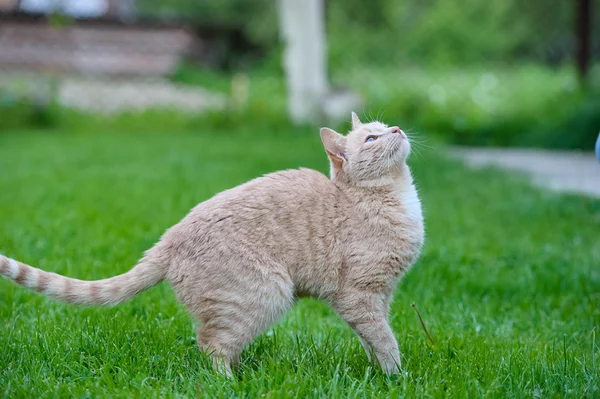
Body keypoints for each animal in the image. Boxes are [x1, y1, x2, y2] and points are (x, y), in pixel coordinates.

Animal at [1, 113, 422, 378]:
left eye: (384, 128)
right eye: (372, 137)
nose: (397, 128)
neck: (395, 198)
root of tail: (170, 237)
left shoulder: (379, 296)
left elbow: (372, 339)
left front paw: (379, 373)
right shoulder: (359, 295)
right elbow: (384, 339)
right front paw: (396, 377)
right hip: (267, 294)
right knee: (210, 344)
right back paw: (229, 383)